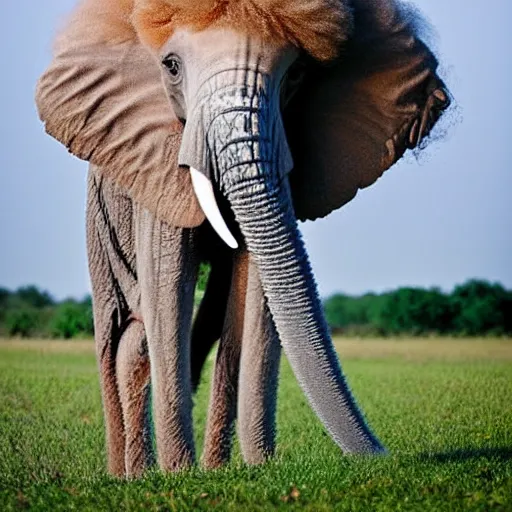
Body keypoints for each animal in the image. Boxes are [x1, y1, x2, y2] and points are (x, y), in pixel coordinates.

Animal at [36, 0, 450, 478]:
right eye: (171, 66)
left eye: (296, 73)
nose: (382, 455)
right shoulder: (152, 156)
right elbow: (167, 281)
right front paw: (180, 474)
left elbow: (256, 285)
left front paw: (249, 468)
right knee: (126, 333)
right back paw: (128, 475)